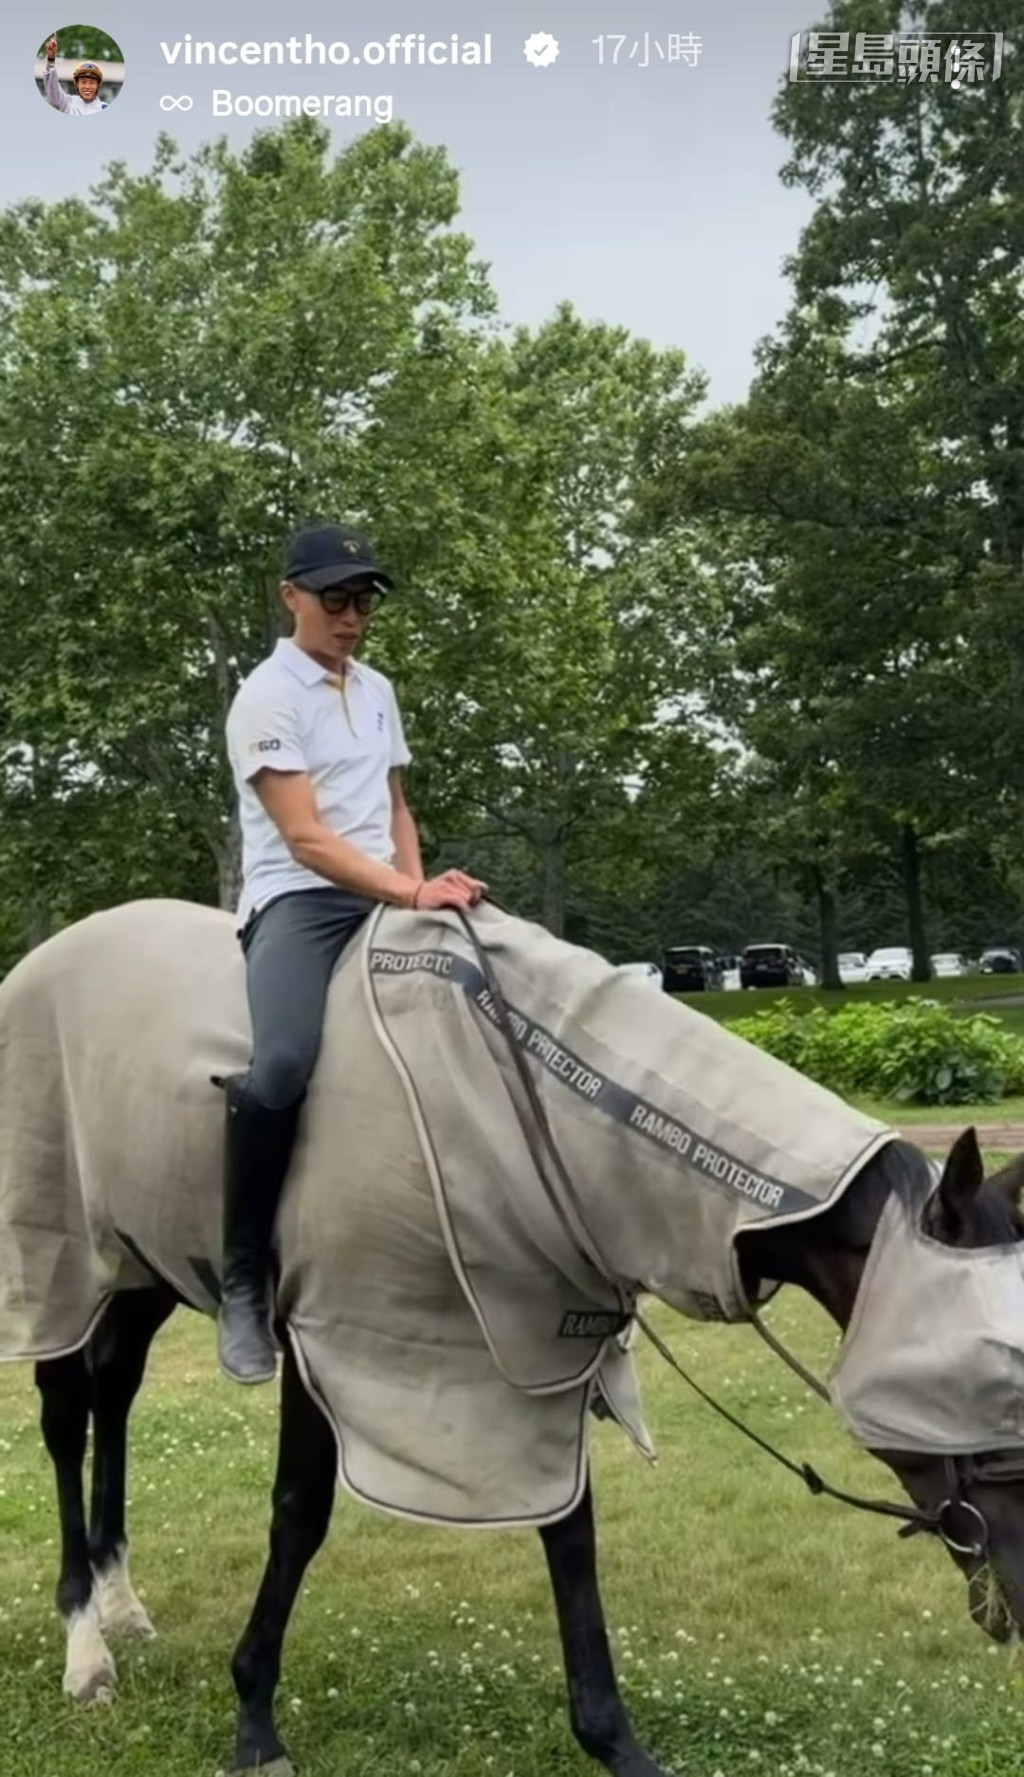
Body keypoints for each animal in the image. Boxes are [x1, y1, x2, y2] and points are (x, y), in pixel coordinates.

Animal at [4, 896, 1024, 1777]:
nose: (1018, 1598)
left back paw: (122, 1603)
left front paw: (617, 1743)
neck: (520, 1099)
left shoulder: (528, 1355)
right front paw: (255, 1719)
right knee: (64, 1413)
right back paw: (85, 1643)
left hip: (140, 1269)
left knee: (115, 1391)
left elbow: (571, 1537)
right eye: (988, 1373)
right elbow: (299, 1515)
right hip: (61, 1262)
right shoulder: (333, 1339)